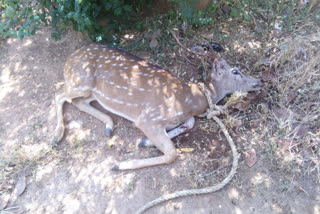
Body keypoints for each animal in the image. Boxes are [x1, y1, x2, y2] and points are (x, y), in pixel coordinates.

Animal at [52, 43, 262, 171]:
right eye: (235, 71)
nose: (258, 81)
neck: (193, 100)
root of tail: (69, 59)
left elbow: (190, 123)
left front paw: (145, 142)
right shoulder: (148, 118)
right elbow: (171, 153)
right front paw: (120, 164)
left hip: (89, 91)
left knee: (77, 102)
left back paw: (109, 126)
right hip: (81, 81)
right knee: (59, 95)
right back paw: (56, 137)